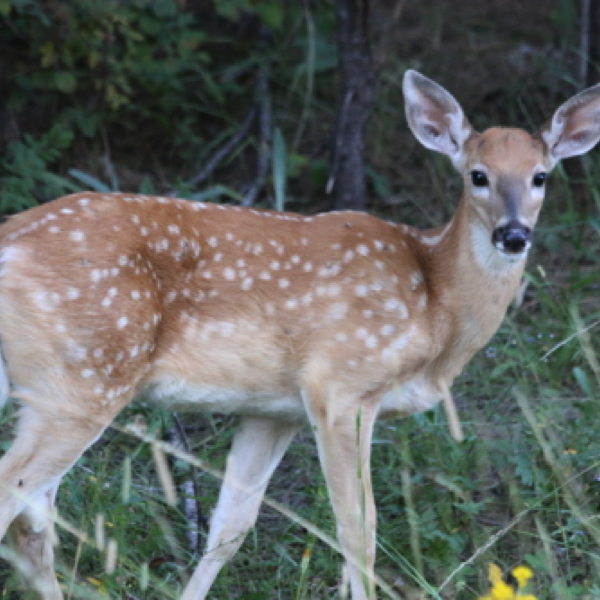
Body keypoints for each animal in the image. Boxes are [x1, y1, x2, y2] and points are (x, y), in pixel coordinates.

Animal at [0, 71, 600, 600]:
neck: (434, 303)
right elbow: (359, 528)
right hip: (84, 376)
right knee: (16, 498)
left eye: (541, 176)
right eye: (477, 175)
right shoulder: (342, 386)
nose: (514, 234)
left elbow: (231, 527)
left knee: (35, 524)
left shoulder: (273, 409)